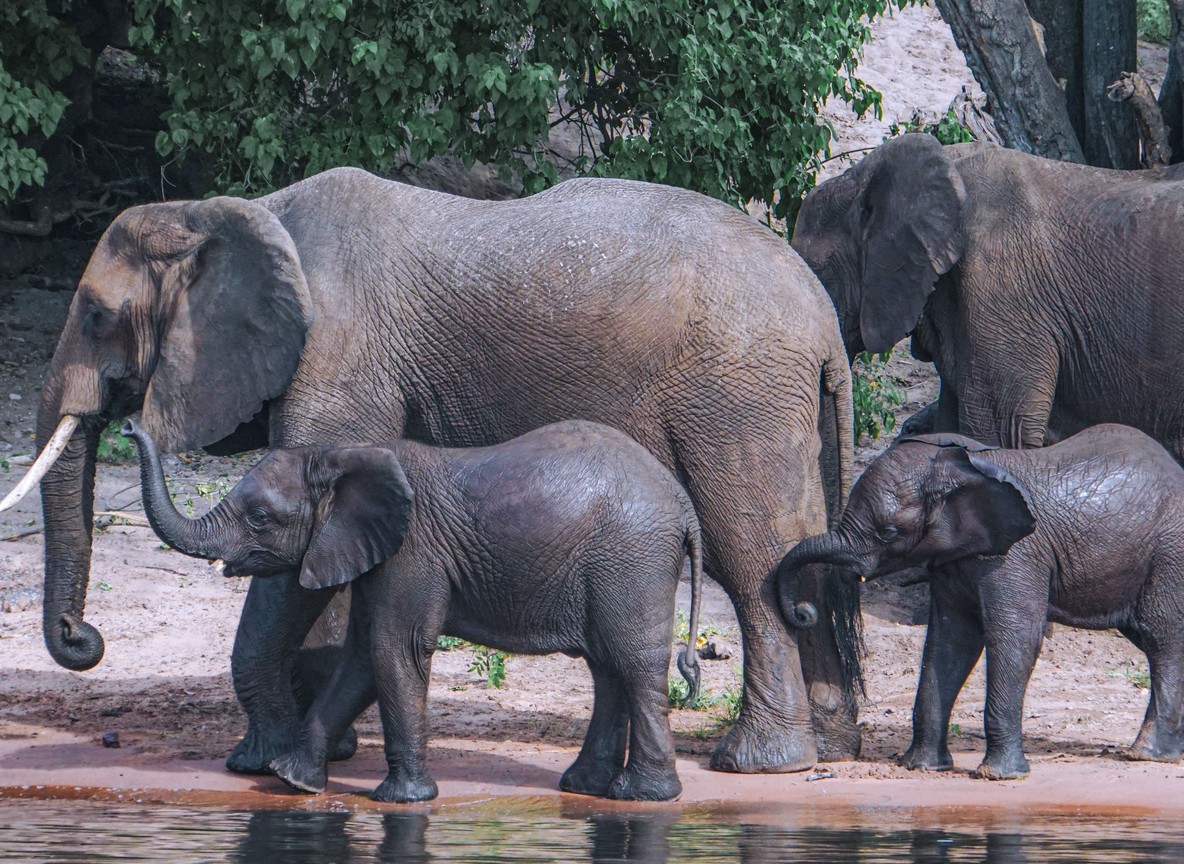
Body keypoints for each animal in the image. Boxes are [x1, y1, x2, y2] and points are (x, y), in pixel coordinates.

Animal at [124, 417, 713, 802]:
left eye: (261, 518)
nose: (129, 427)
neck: (341, 455)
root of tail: (683, 506)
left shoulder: (411, 552)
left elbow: (395, 650)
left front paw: (403, 800)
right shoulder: (376, 554)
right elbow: (362, 658)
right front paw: (293, 780)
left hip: (631, 559)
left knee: (632, 663)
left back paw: (644, 797)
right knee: (606, 666)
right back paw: (586, 788)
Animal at [778, 424, 1184, 779]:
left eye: (889, 532)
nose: (803, 611)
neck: (964, 466)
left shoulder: (1017, 555)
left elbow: (1014, 638)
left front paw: (1000, 776)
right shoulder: (952, 558)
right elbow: (950, 642)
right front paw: (923, 768)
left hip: (1168, 554)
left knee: (1162, 640)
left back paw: (1147, 754)